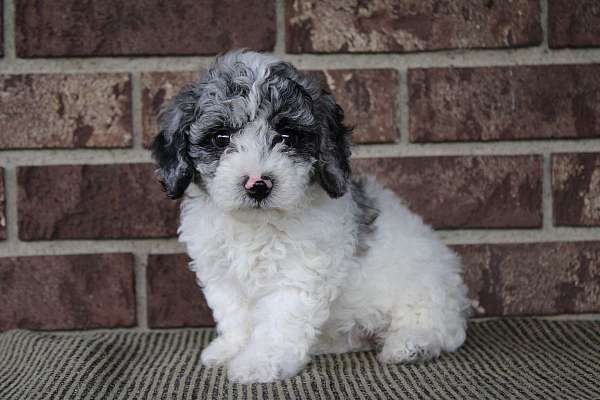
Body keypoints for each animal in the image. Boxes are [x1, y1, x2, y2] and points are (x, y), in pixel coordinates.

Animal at [152, 50, 472, 384]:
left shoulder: (297, 276)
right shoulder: (223, 277)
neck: (258, 225)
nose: (258, 184)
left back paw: (410, 345)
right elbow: (235, 316)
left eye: (287, 136)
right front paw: (230, 348)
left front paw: (258, 363)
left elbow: (278, 324)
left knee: (438, 326)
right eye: (220, 137)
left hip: (426, 288)